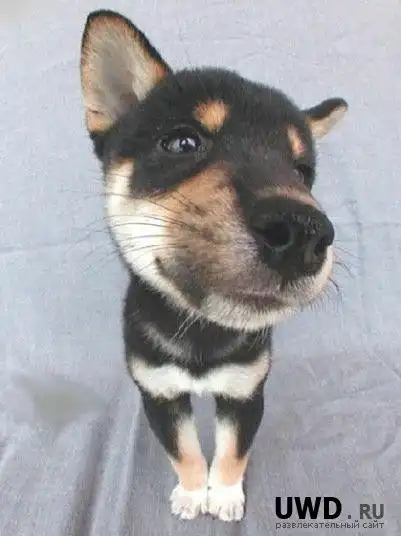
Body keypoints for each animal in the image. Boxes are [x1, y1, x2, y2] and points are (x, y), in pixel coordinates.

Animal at [79, 10, 347, 522]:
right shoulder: (159, 392)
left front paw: (222, 494)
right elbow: (185, 451)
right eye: (183, 142)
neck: (203, 337)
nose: (304, 231)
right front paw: (191, 493)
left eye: (302, 173)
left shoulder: (245, 392)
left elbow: (231, 453)